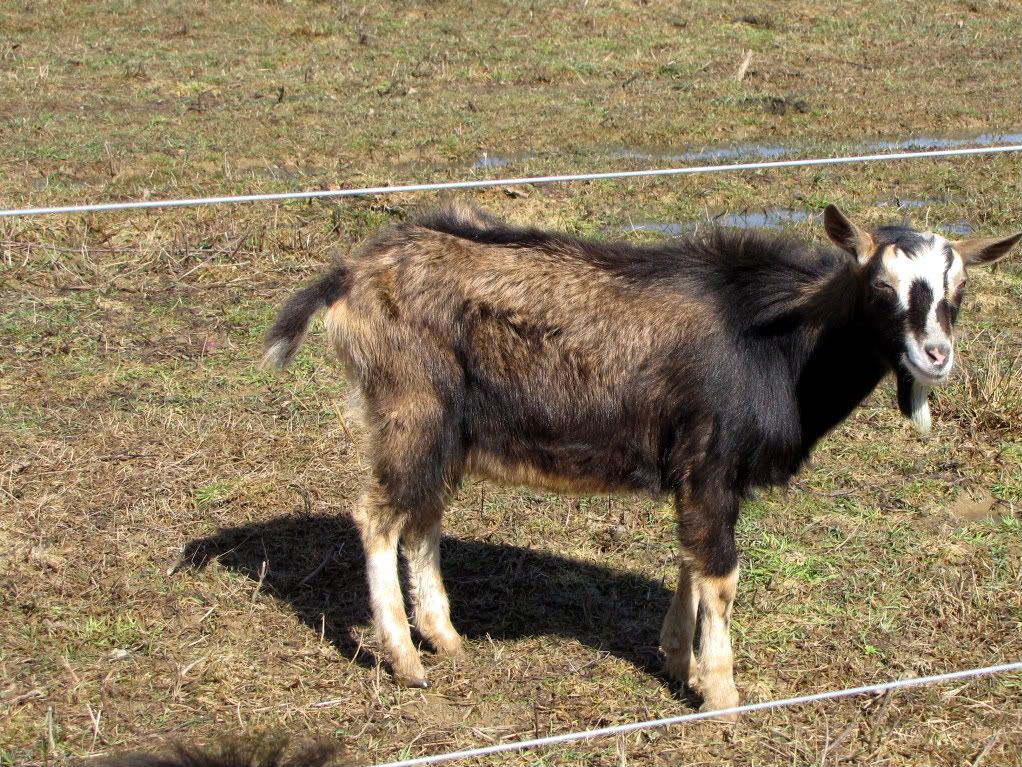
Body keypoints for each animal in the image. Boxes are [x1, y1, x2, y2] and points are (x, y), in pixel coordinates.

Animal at [263, 203, 1019, 713]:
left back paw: (446, 639)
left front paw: (678, 658)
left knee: (422, 519)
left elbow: (690, 558)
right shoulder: (710, 460)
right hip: (410, 411)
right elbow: (720, 572)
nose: (936, 357)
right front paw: (721, 695)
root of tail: (349, 274)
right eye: (882, 289)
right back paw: (404, 660)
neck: (776, 340)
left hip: (446, 431)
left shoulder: (700, 471)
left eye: (958, 294)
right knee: (377, 516)